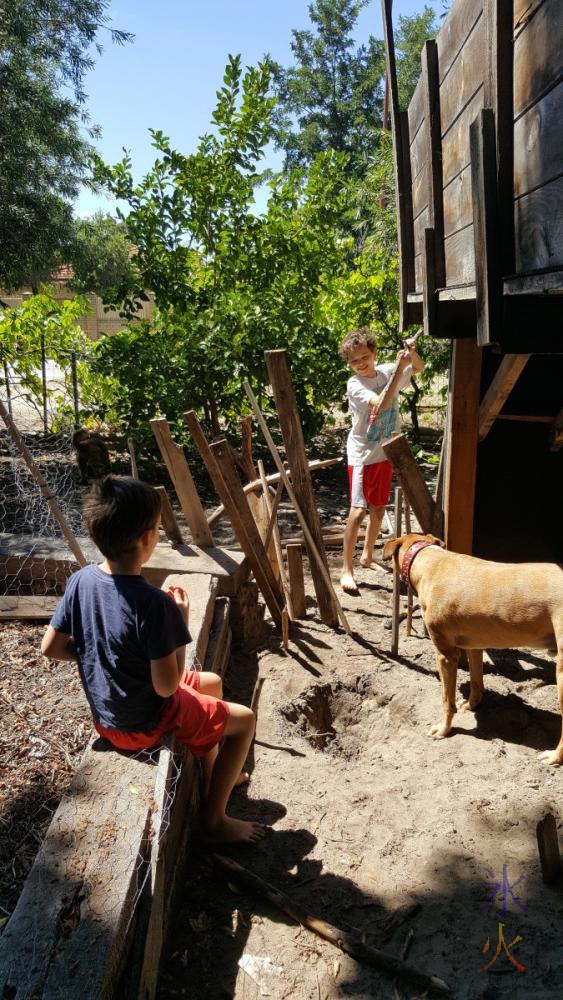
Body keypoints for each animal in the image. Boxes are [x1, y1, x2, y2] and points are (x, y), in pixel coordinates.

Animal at [382, 532, 563, 764]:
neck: (431, 562)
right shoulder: (475, 645)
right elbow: (477, 681)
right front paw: (471, 705)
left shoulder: (446, 655)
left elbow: (446, 701)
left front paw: (444, 730)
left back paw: (554, 757)